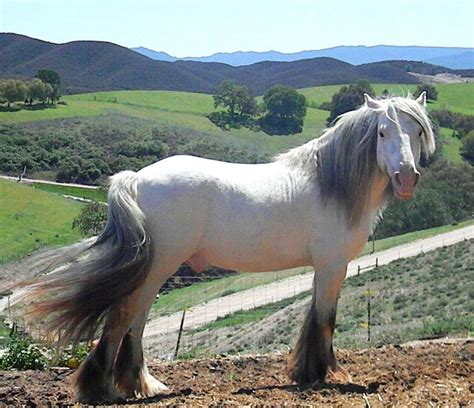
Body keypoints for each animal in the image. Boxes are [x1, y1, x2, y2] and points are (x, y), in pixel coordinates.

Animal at [17, 92, 434, 402]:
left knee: (136, 321)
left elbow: (313, 315)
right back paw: (103, 390)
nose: (406, 177)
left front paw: (305, 372)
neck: (330, 184)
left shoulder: (321, 267)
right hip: (159, 265)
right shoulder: (334, 265)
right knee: (123, 317)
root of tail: (136, 178)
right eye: (382, 132)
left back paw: (140, 385)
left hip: (156, 269)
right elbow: (325, 318)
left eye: (417, 130)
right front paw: (321, 374)